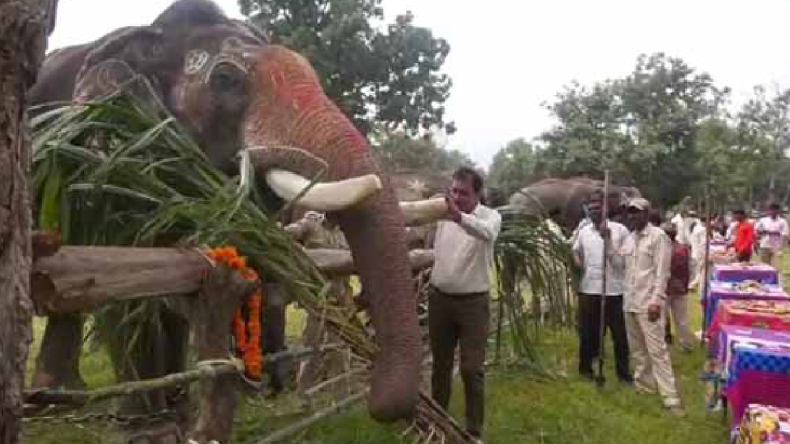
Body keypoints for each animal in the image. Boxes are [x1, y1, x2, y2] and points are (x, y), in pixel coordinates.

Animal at [29, 0, 420, 424]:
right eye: (225, 80)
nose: (379, 402)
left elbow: (174, 284)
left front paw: (179, 411)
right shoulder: (102, 150)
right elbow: (123, 280)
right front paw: (149, 424)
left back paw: (59, 395)